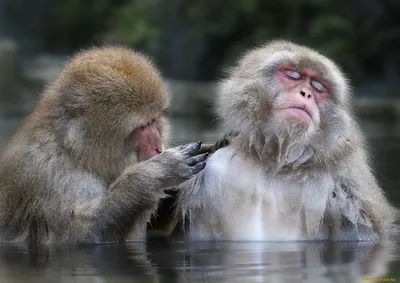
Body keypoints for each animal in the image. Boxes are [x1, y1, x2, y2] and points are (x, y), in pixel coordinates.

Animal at [177, 40, 398, 242]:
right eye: (293, 75)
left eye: (318, 87)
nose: (306, 93)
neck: (274, 161)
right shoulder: (214, 168)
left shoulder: (345, 188)